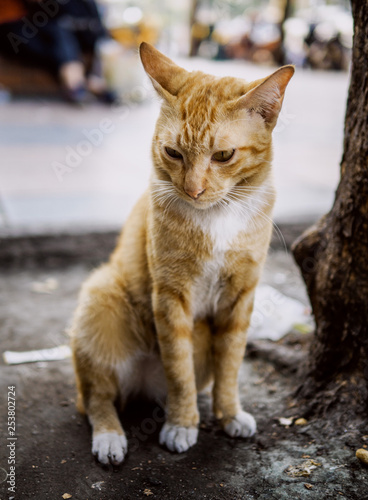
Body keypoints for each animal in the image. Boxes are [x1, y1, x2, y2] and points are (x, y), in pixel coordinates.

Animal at [69, 43, 294, 464]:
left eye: (223, 155)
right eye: (173, 153)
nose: (193, 190)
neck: (219, 215)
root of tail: (141, 384)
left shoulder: (241, 295)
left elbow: (231, 363)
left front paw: (229, 413)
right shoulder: (171, 295)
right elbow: (179, 368)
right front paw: (182, 423)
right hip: (100, 294)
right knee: (96, 399)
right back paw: (110, 438)